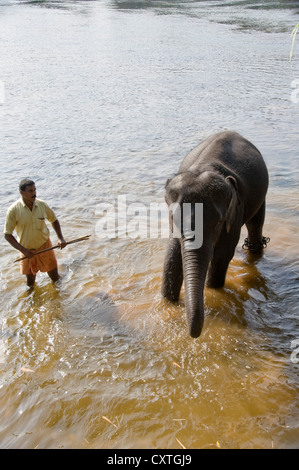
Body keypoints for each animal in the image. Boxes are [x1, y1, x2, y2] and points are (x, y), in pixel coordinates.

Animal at [163, 131, 270, 338]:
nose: (193, 335)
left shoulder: (234, 211)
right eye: (173, 218)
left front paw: (212, 290)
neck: (204, 167)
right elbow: (172, 256)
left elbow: (222, 255)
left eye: (219, 222)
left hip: (260, 196)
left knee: (255, 224)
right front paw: (167, 302)